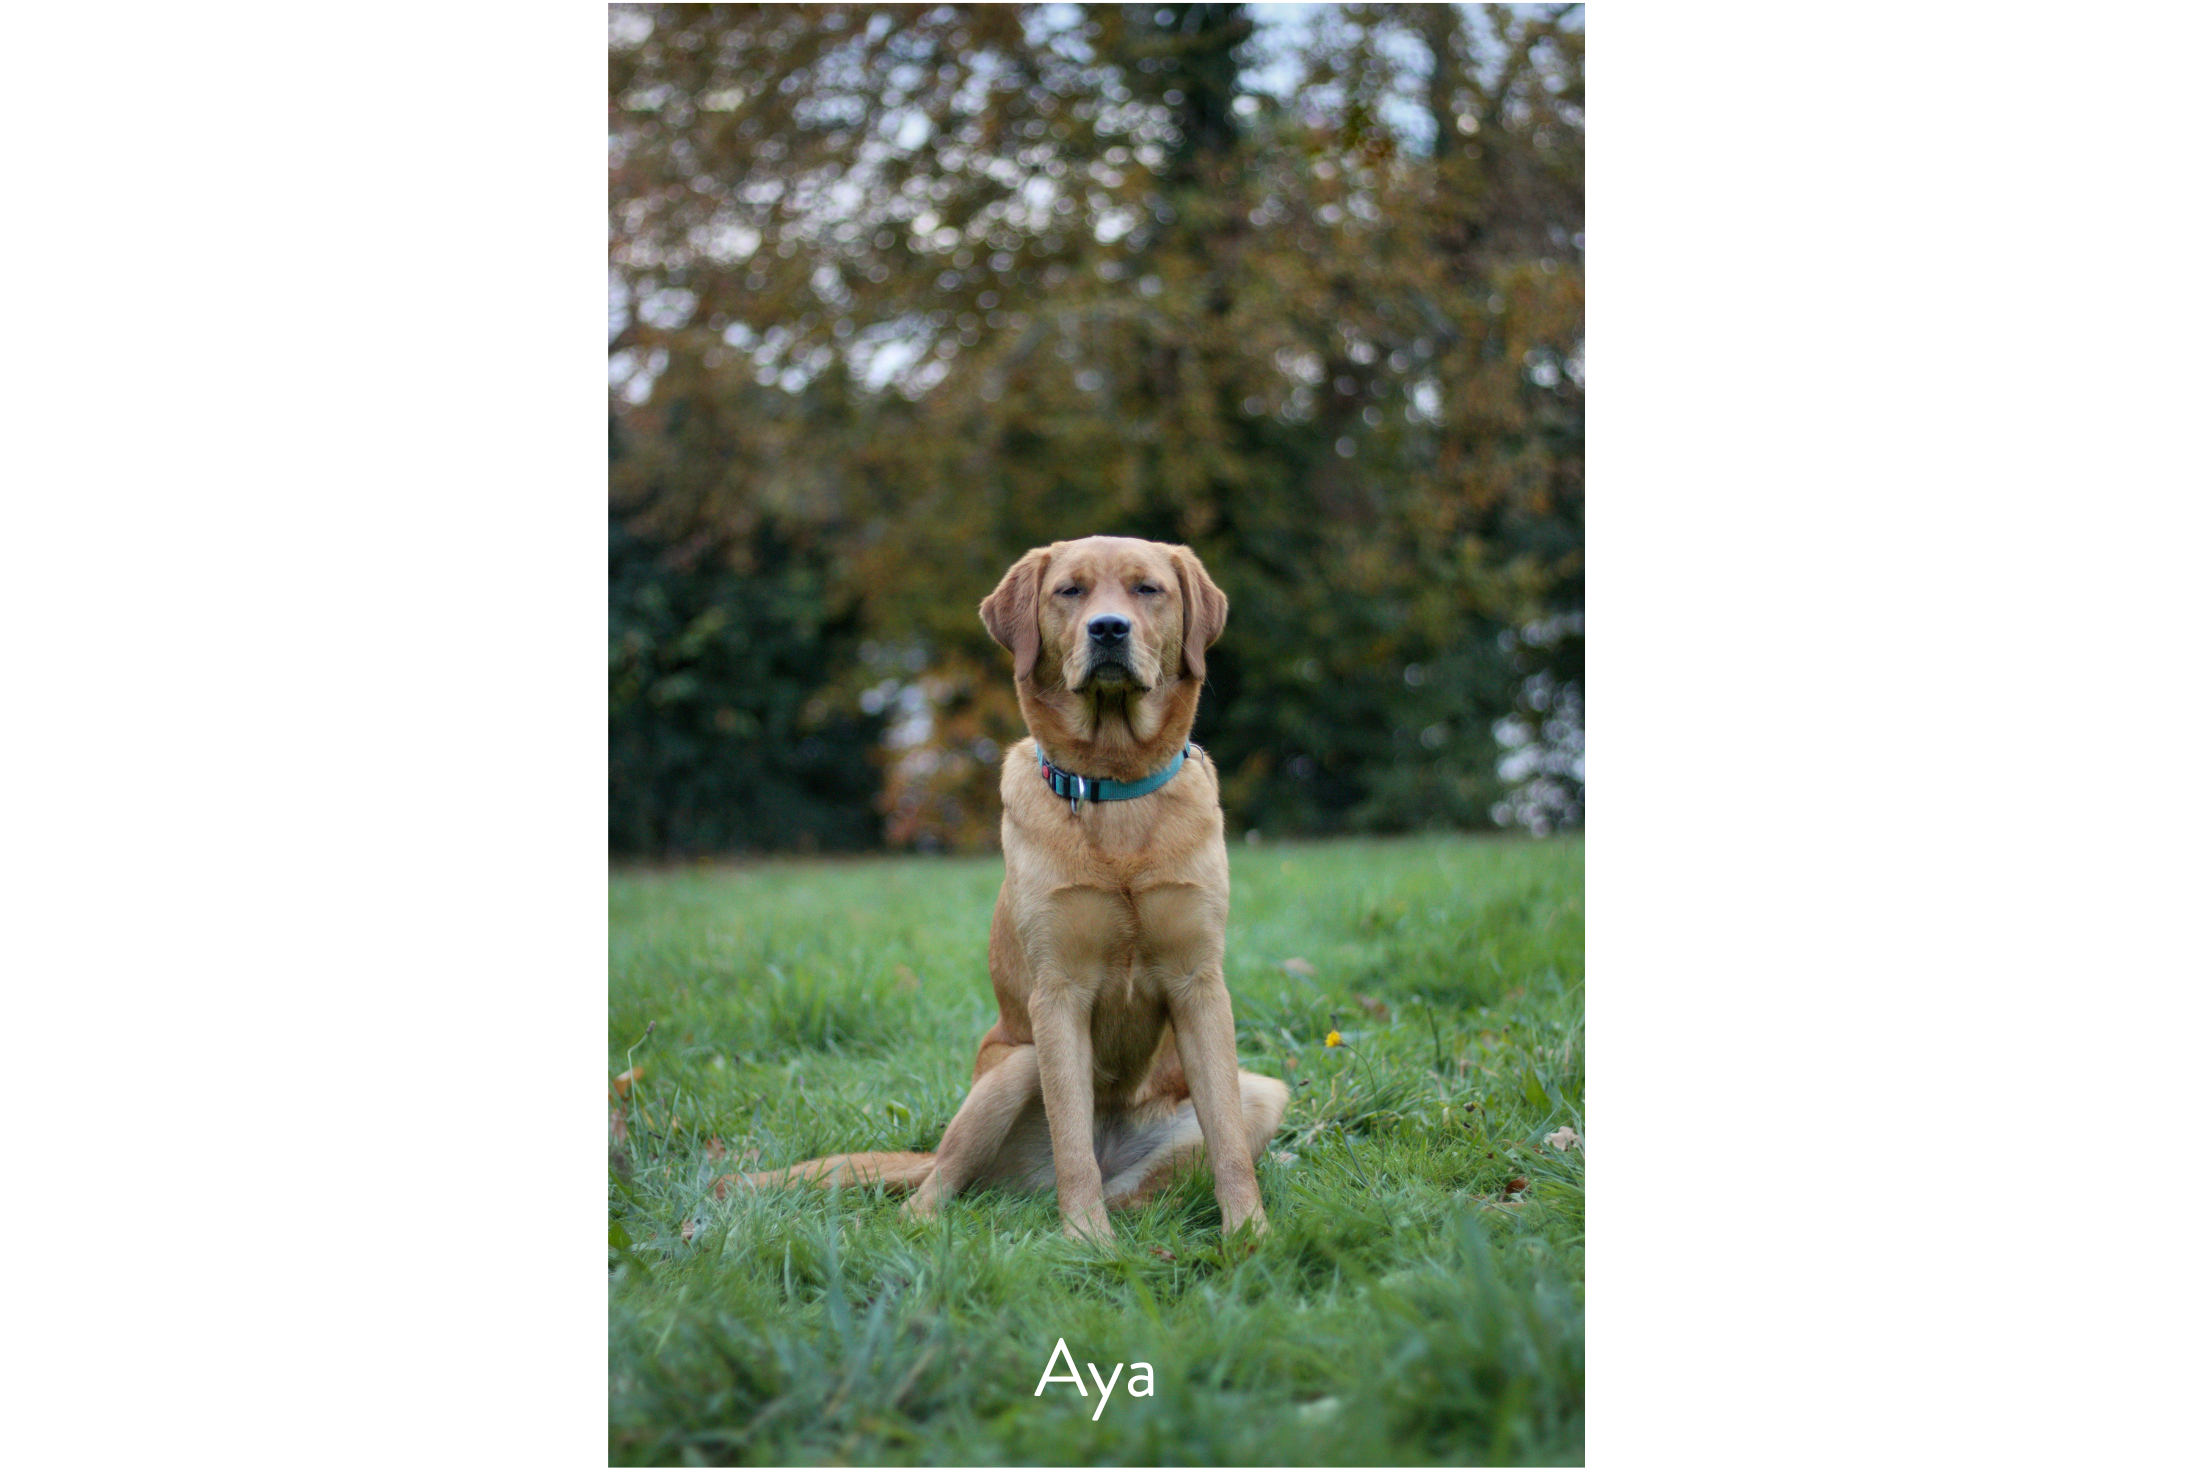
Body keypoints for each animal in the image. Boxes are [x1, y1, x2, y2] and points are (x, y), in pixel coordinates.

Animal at [720, 537, 1289, 1240]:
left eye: (1147, 589)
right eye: (1070, 591)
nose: (1108, 629)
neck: (1114, 787)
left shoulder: (1199, 985)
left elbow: (1229, 1144)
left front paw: (1251, 1237)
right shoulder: (1058, 993)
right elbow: (1072, 1143)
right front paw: (1087, 1243)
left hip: (1264, 1091)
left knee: (1148, 1183)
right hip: (1012, 1068)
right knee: (937, 1189)